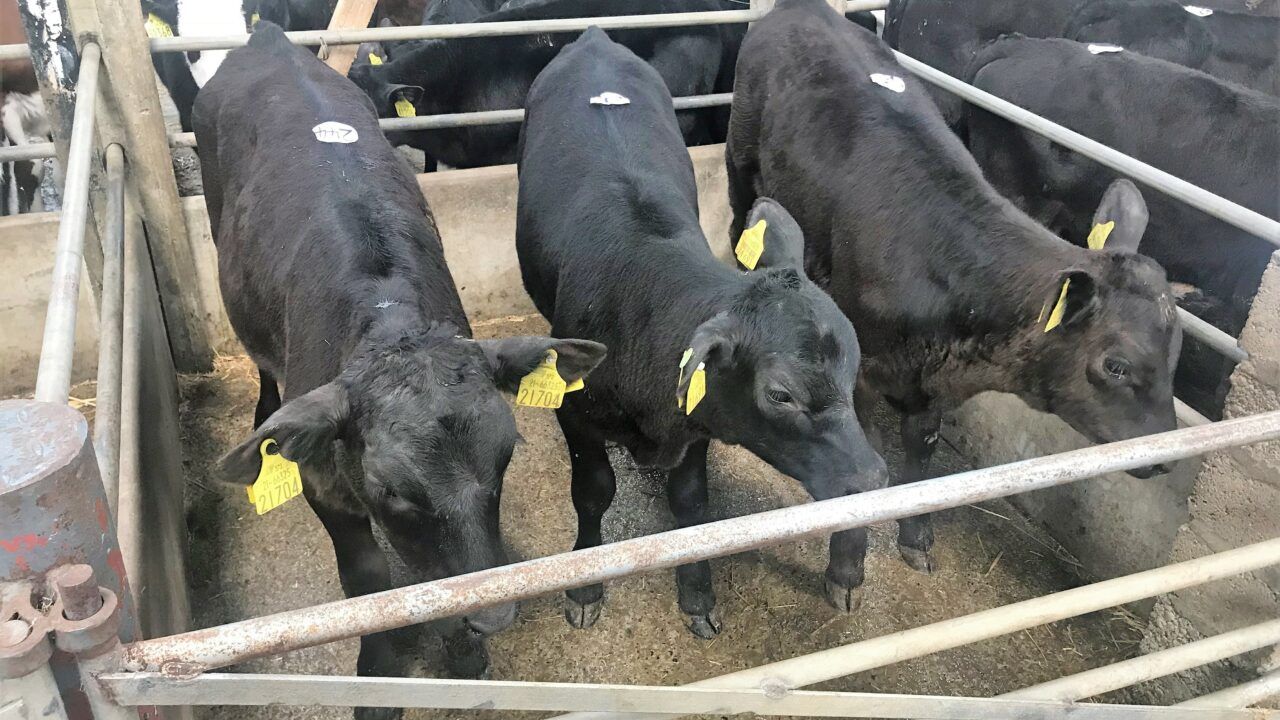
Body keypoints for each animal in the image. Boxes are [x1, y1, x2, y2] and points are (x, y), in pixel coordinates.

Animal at [194, 23, 605, 717]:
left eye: (506, 457)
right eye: (390, 492)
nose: (494, 619)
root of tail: (268, 39)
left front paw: (466, 655)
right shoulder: (323, 484)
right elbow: (368, 583)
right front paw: (379, 675)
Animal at [516, 27, 887, 638]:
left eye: (854, 368)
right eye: (779, 395)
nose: (872, 477)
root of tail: (594, 37)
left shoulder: (695, 426)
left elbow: (691, 505)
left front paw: (696, 592)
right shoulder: (575, 414)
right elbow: (592, 493)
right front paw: (586, 585)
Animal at [729, 0, 1182, 576]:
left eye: (1176, 351)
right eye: (1116, 365)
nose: (1166, 457)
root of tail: (802, 11)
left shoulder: (930, 390)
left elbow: (921, 455)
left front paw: (916, 538)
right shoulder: (860, 373)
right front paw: (847, 567)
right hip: (741, 162)